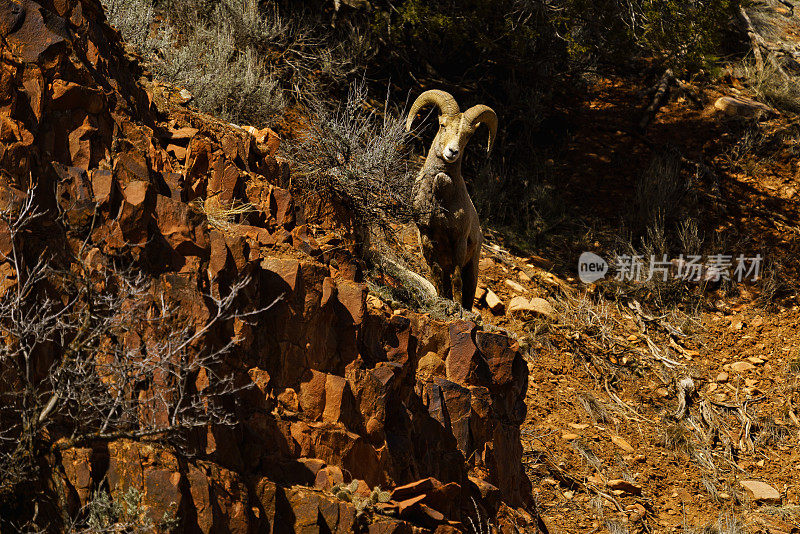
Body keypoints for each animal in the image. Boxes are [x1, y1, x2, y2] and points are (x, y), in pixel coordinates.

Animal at [406, 91, 494, 310]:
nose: (452, 152)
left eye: (468, 135)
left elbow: (457, 280)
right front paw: (443, 302)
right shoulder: (428, 238)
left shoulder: (459, 242)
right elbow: (438, 276)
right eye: (442, 125)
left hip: (472, 265)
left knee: (468, 288)